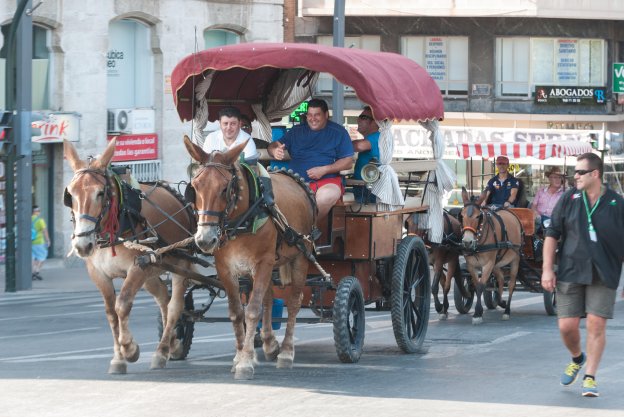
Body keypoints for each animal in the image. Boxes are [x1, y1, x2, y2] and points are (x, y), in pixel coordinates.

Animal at [63, 138, 195, 372]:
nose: (82, 245)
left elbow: (122, 304)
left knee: (175, 306)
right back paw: (172, 344)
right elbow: (111, 312)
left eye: (100, 193)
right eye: (70, 195)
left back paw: (161, 351)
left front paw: (130, 349)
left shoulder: (137, 267)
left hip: (180, 264)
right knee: (163, 298)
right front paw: (118, 358)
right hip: (153, 269)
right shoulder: (99, 274)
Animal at [183, 135, 314, 378]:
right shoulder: (226, 267)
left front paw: (245, 362)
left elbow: (252, 311)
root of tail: (293, 178)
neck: (242, 218)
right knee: (269, 297)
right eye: (194, 187)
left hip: (300, 255)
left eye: (225, 188)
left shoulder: (263, 262)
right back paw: (270, 344)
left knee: (293, 302)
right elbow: (237, 312)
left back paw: (286, 352)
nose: (205, 240)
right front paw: (240, 356)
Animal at [458, 187, 520, 324]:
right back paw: (501, 301)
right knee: (501, 279)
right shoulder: (471, 265)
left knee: (511, 284)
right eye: (461, 216)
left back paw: (507, 310)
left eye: (478, 216)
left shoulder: (487, 264)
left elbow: (481, 286)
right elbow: (477, 285)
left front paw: (477, 313)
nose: (467, 242)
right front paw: (479, 311)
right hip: (497, 263)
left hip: (514, 260)